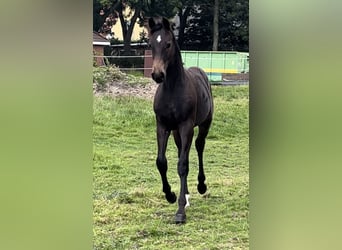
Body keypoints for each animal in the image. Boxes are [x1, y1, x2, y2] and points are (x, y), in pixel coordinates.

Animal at [148, 16, 212, 224]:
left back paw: (201, 186)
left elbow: (183, 165)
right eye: (150, 44)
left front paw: (180, 211)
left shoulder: (186, 126)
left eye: (168, 44)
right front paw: (171, 195)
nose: (158, 74)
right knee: (180, 152)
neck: (172, 89)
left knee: (199, 147)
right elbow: (162, 162)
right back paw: (187, 194)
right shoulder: (163, 126)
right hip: (176, 131)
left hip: (204, 124)